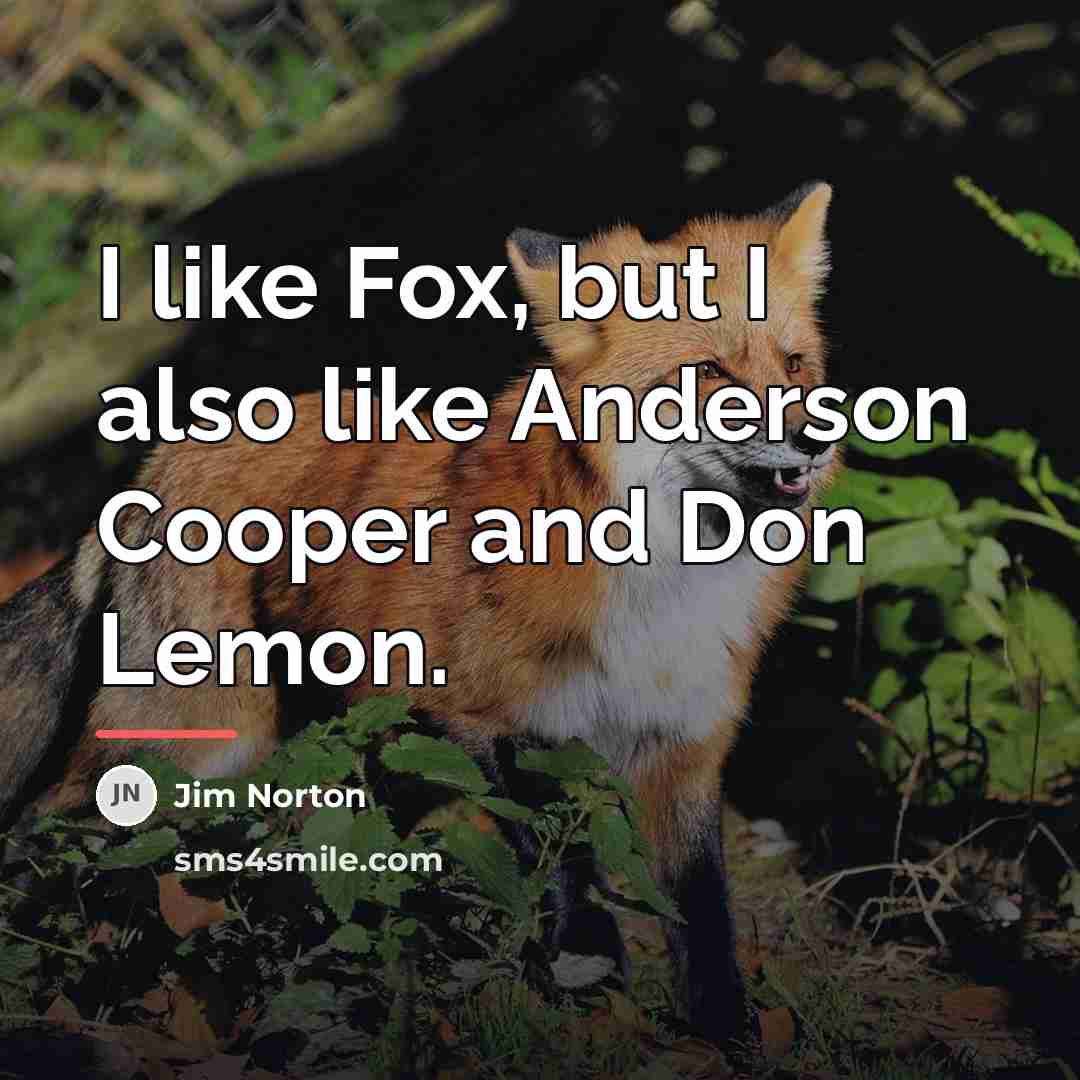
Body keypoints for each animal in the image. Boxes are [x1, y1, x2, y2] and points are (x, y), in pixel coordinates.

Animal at [0, 182, 837, 1053]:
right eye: (708, 371)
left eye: (794, 364)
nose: (816, 437)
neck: (665, 587)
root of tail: (156, 463)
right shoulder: (488, 720)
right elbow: (563, 865)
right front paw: (588, 971)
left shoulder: (685, 750)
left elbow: (702, 917)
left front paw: (726, 1029)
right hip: (192, 744)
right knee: (51, 829)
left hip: (354, 757)